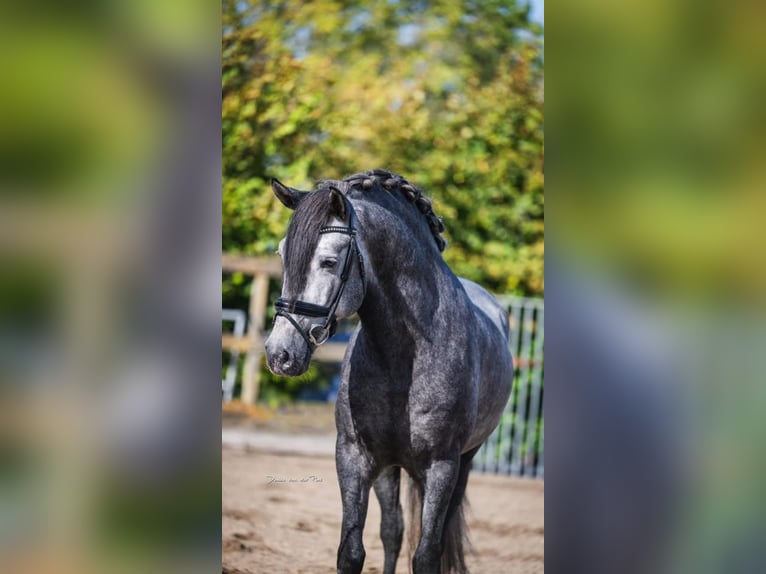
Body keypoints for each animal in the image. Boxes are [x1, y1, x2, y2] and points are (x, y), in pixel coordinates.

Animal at [264, 169, 513, 574]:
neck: (404, 358)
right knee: (393, 530)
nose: (279, 354)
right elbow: (353, 551)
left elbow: (427, 555)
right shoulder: (355, 457)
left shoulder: (442, 466)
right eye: (282, 254)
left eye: (329, 262)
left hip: (464, 462)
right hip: (389, 469)